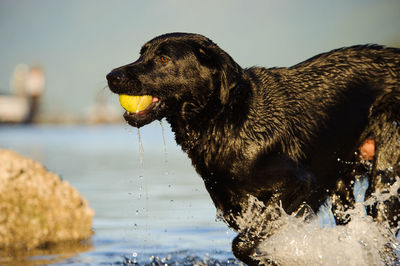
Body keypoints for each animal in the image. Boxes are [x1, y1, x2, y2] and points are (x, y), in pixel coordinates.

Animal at [107, 32, 400, 264]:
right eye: (141, 54)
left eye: (164, 59)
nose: (111, 76)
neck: (225, 118)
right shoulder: (234, 208)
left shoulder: (299, 183)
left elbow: (242, 245)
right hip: (341, 188)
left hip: (384, 178)